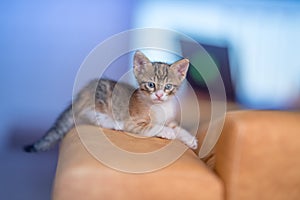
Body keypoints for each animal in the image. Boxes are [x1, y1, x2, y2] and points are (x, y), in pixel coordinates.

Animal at [24, 50, 198, 152]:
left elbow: (178, 127)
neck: (159, 106)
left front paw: (190, 139)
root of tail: (82, 93)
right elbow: (152, 127)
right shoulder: (133, 122)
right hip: (100, 98)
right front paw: (166, 131)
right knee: (88, 114)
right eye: (151, 85)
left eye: (168, 87)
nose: (160, 95)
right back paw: (113, 123)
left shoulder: (169, 119)